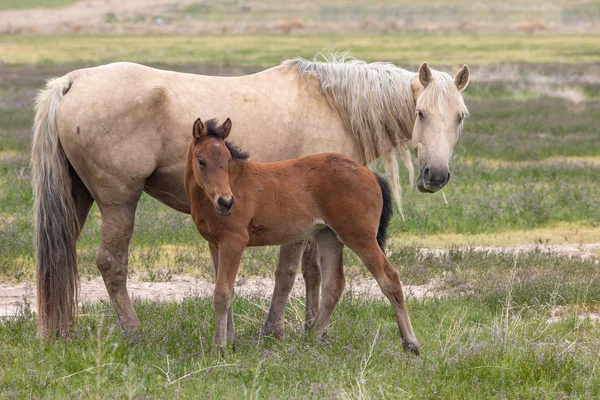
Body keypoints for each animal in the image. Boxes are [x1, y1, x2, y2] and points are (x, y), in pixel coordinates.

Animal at [185, 118, 420, 354]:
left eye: (227, 159)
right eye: (201, 161)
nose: (226, 202)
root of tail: (370, 174)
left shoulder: (234, 241)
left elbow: (223, 294)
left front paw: (219, 348)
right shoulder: (216, 243)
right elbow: (228, 291)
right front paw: (230, 342)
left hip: (359, 236)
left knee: (390, 279)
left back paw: (411, 344)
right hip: (329, 236)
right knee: (333, 285)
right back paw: (311, 337)